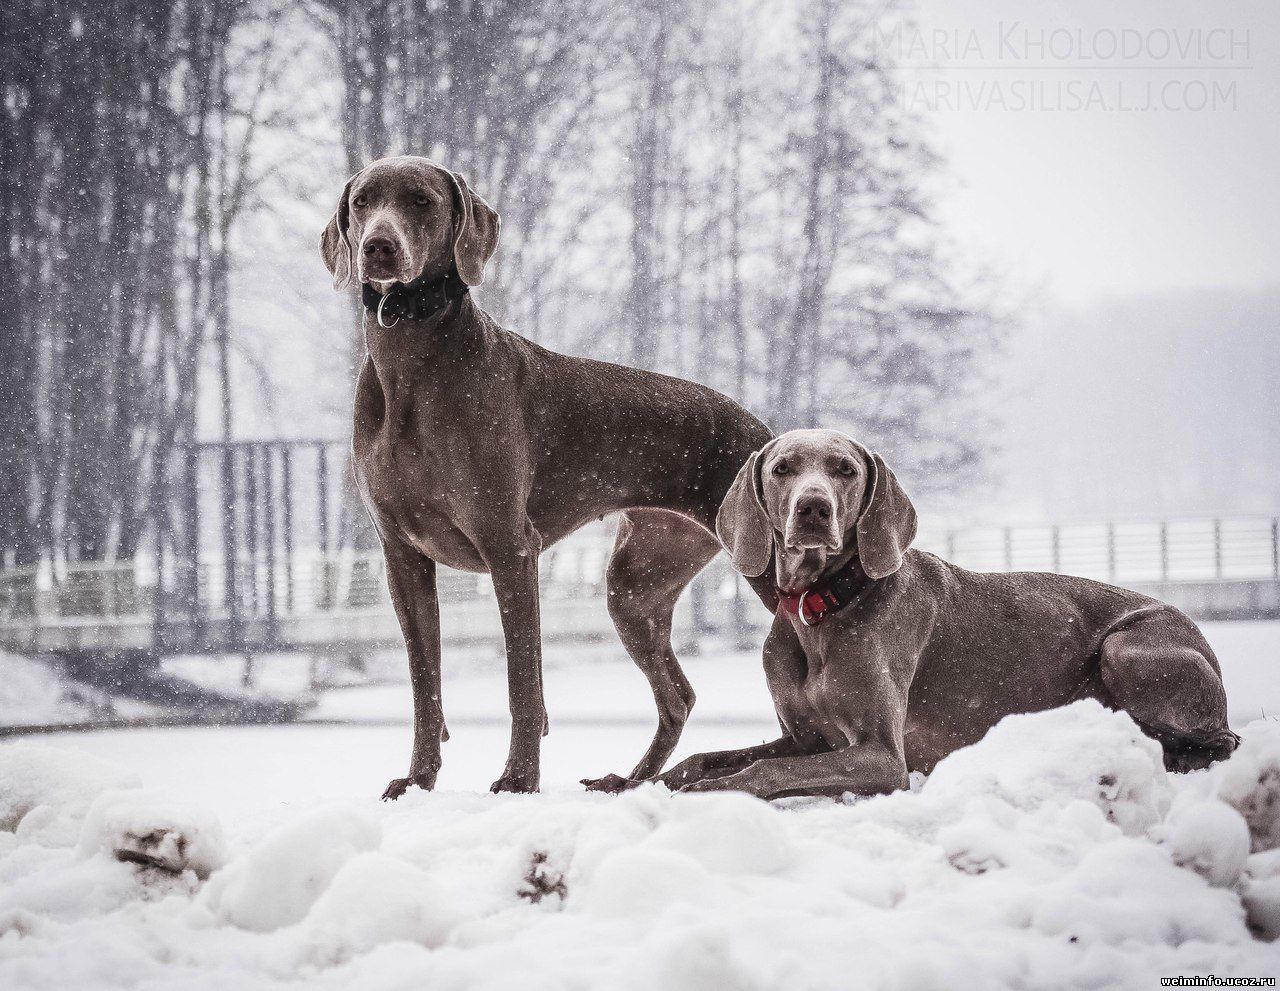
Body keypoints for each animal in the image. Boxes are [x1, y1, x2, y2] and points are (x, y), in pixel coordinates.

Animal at [655, 430, 1233, 804]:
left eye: (846, 470)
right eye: (782, 469)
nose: (814, 508)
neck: (822, 607)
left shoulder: (884, 756)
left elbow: (763, 769)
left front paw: (710, 791)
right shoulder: (804, 739)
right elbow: (707, 757)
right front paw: (653, 780)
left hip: (1126, 647)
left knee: (1215, 743)